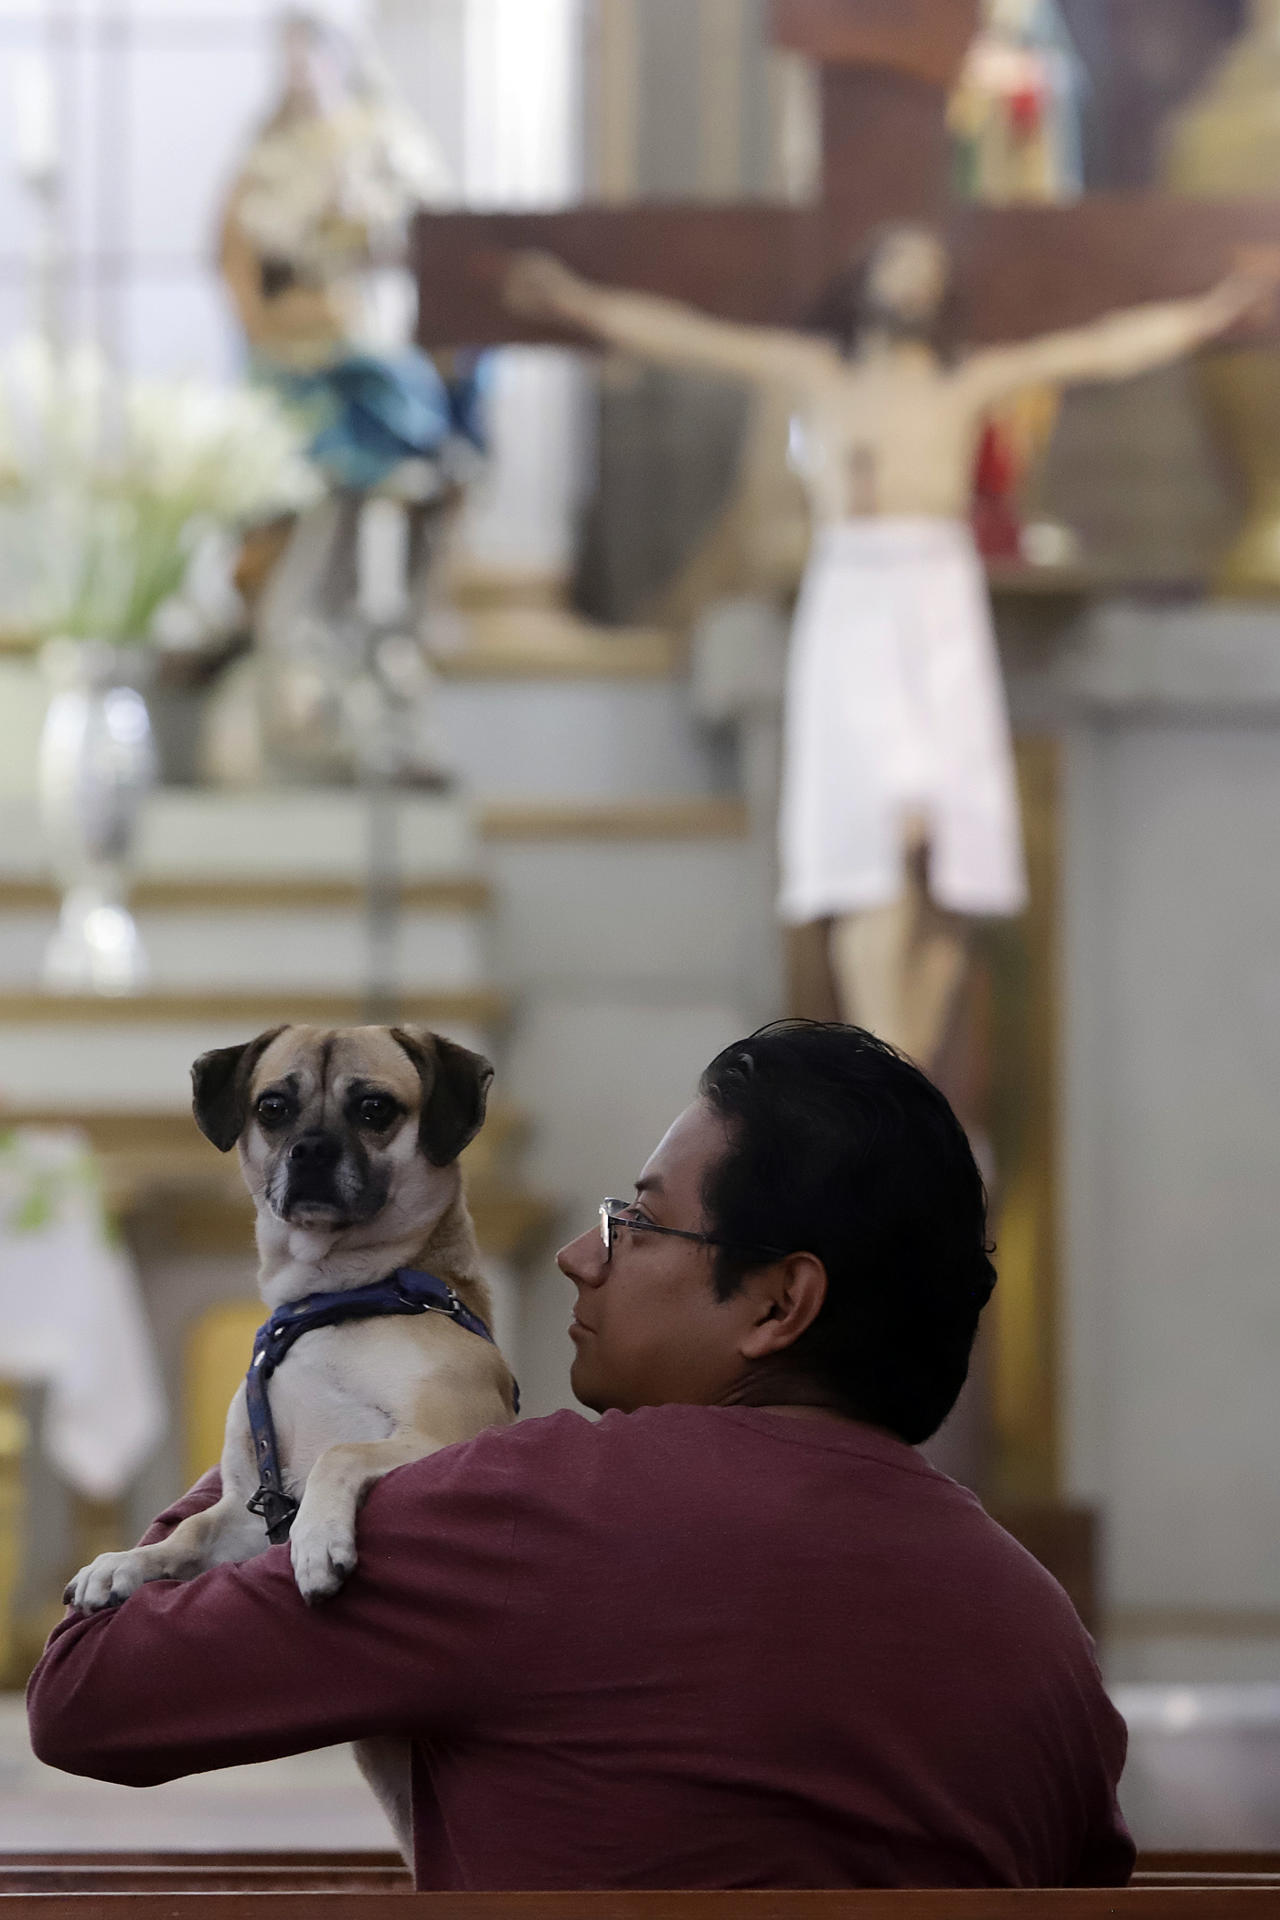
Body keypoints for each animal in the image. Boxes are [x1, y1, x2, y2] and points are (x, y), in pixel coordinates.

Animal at [66, 1029, 514, 1612]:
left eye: (375, 1108)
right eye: (272, 1107)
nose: (312, 1150)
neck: (328, 1302)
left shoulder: (449, 1432)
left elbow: (341, 1452)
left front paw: (316, 1539)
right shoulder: (249, 1507)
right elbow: (190, 1529)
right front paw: (126, 1562)